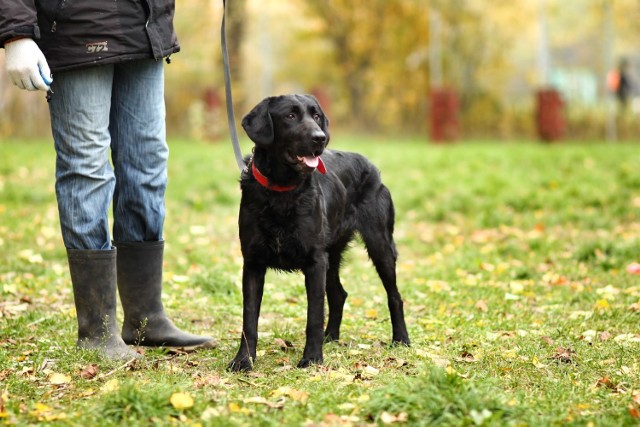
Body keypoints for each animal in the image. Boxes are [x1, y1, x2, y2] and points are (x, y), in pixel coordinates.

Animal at [230, 95, 410, 372]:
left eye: (316, 116)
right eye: (290, 116)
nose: (320, 138)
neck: (282, 192)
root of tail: (370, 165)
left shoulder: (315, 261)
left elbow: (313, 315)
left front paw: (312, 358)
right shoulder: (253, 262)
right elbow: (249, 319)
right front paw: (243, 360)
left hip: (379, 244)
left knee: (395, 296)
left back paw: (401, 339)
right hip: (332, 255)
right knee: (338, 294)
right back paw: (331, 337)